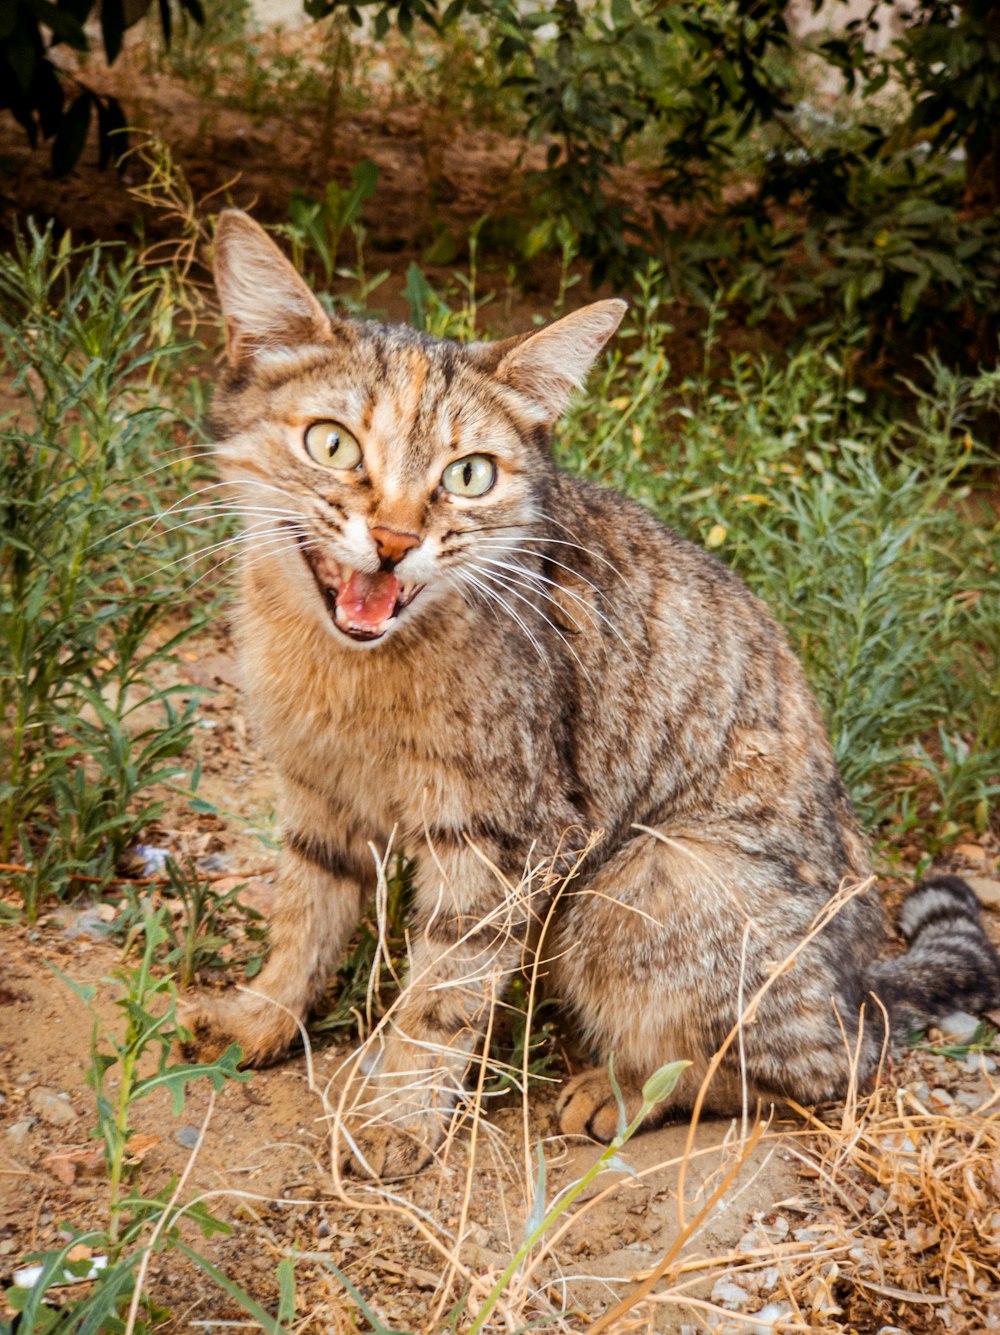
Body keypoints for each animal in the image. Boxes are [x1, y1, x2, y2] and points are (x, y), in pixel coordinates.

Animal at [182, 208, 998, 1180]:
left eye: (469, 474)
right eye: (333, 443)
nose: (394, 539)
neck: (346, 672)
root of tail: (865, 979)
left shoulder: (503, 836)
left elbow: (441, 996)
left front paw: (397, 1114)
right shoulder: (316, 796)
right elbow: (302, 919)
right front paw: (260, 1017)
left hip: (643, 881)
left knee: (826, 1065)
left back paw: (625, 1090)